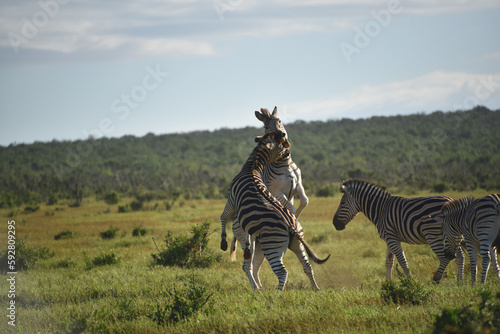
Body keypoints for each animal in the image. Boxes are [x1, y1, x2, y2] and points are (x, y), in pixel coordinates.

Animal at [221, 130, 330, 290]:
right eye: (282, 145)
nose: (289, 152)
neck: (252, 167)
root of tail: (291, 226)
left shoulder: (231, 199)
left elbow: (223, 216)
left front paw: (223, 242)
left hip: (272, 247)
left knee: (279, 271)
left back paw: (273, 293)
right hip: (295, 244)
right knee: (307, 266)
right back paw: (315, 289)